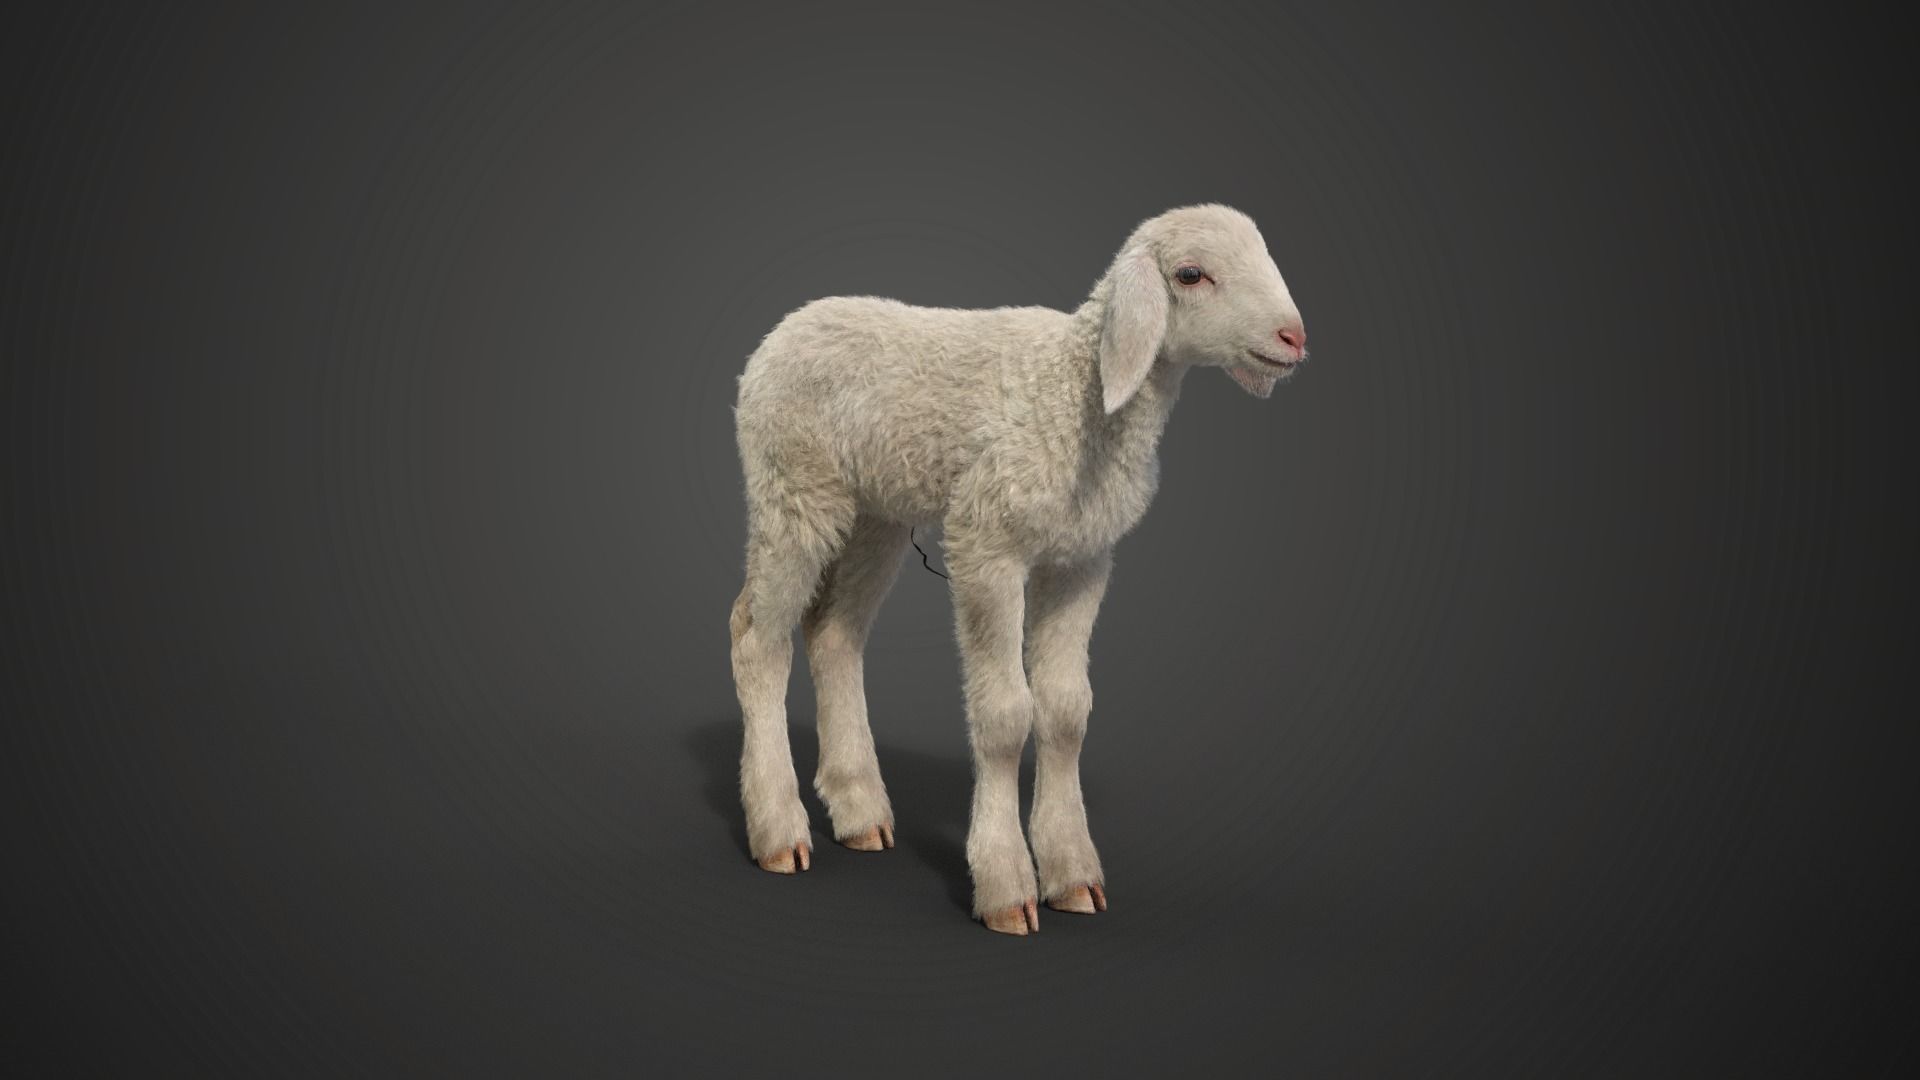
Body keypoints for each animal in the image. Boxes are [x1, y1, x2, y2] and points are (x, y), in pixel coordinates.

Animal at [728, 203, 1309, 935]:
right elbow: (1006, 715)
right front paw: (1006, 884)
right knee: (757, 638)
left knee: (834, 634)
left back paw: (860, 810)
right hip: (794, 485)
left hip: (876, 512)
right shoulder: (987, 545)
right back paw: (779, 831)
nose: (1294, 337)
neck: (1077, 387)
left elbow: (1066, 711)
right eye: (1190, 275)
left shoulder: (1082, 560)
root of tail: (786, 327)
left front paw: (1072, 874)